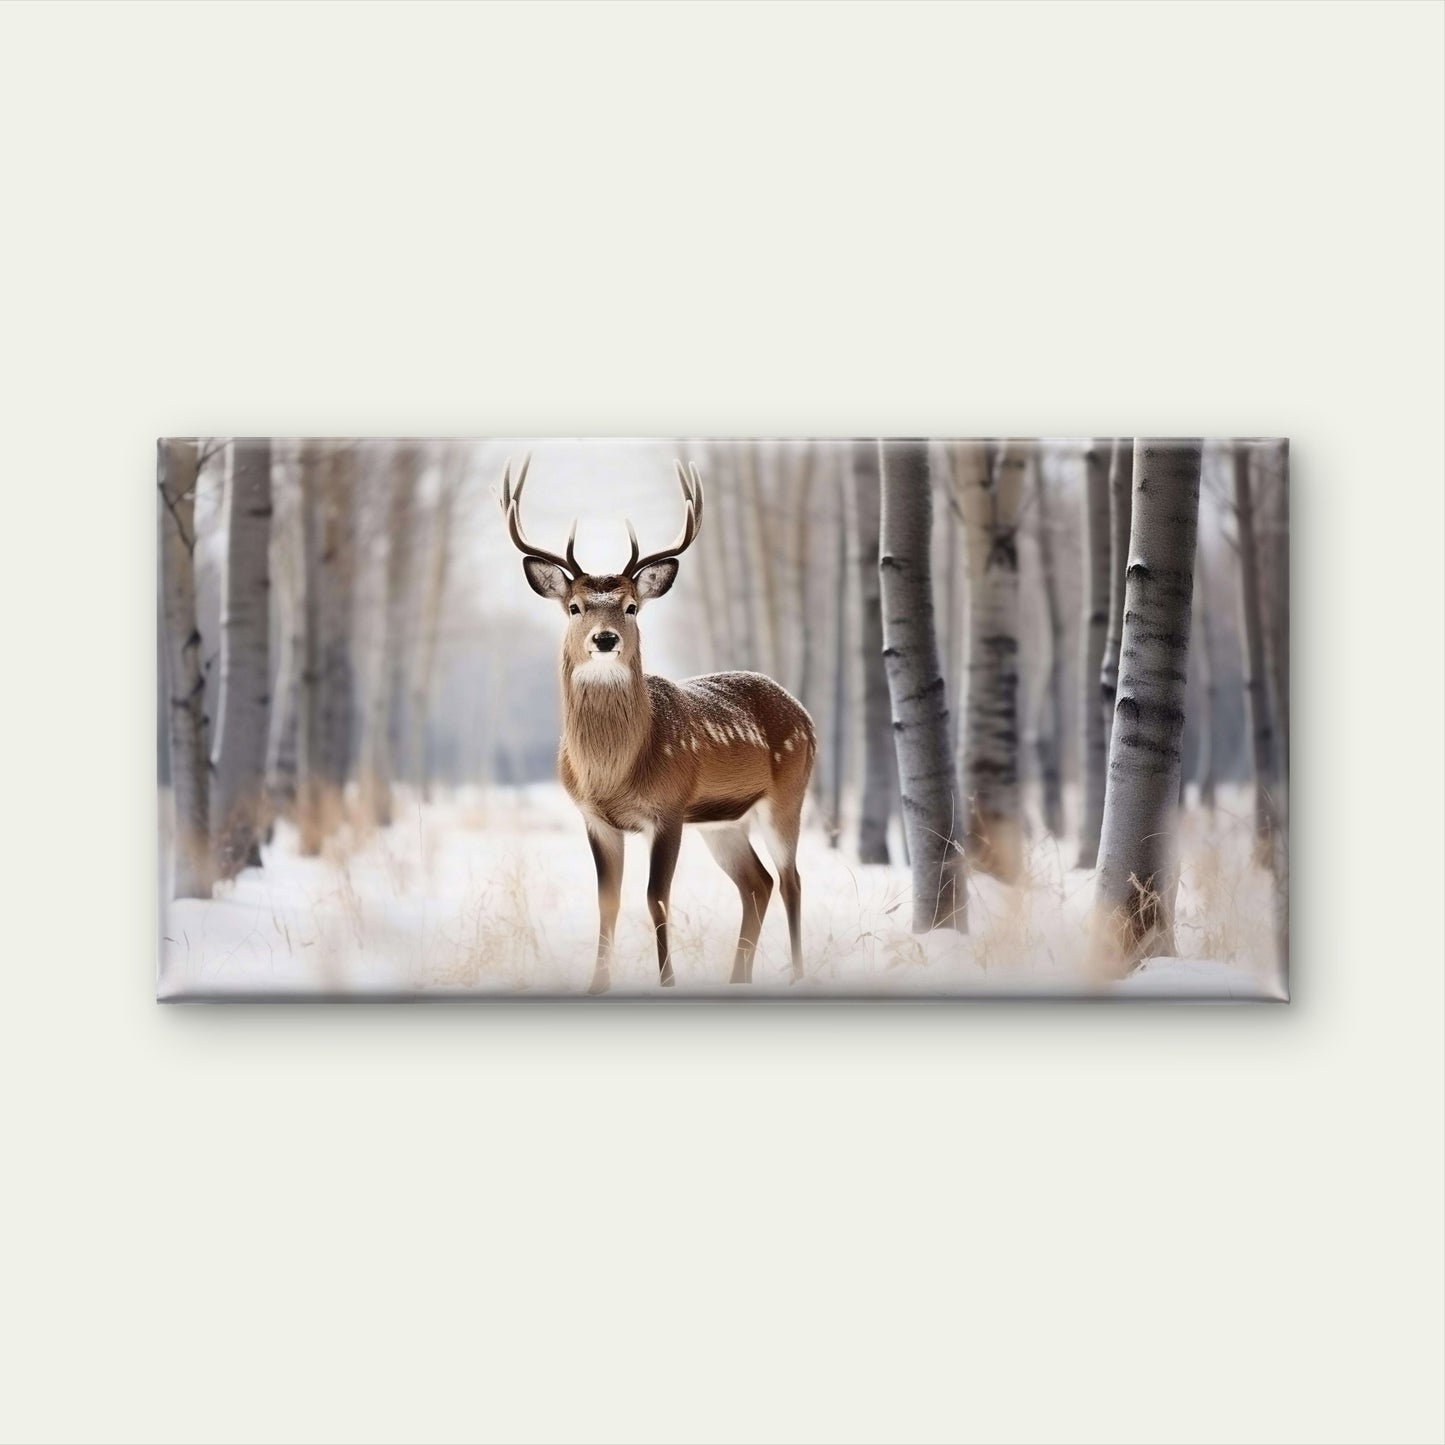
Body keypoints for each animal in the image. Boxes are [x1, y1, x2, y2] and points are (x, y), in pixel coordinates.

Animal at [499, 455, 816, 994]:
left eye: (631, 606)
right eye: (575, 607)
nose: (605, 639)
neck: (613, 773)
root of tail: (804, 713)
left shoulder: (668, 808)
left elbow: (657, 899)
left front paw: (668, 983)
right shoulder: (594, 818)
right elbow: (607, 902)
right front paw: (597, 986)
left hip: (788, 795)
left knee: (791, 879)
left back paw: (796, 974)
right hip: (723, 823)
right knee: (758, 883)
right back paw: (739, 979)